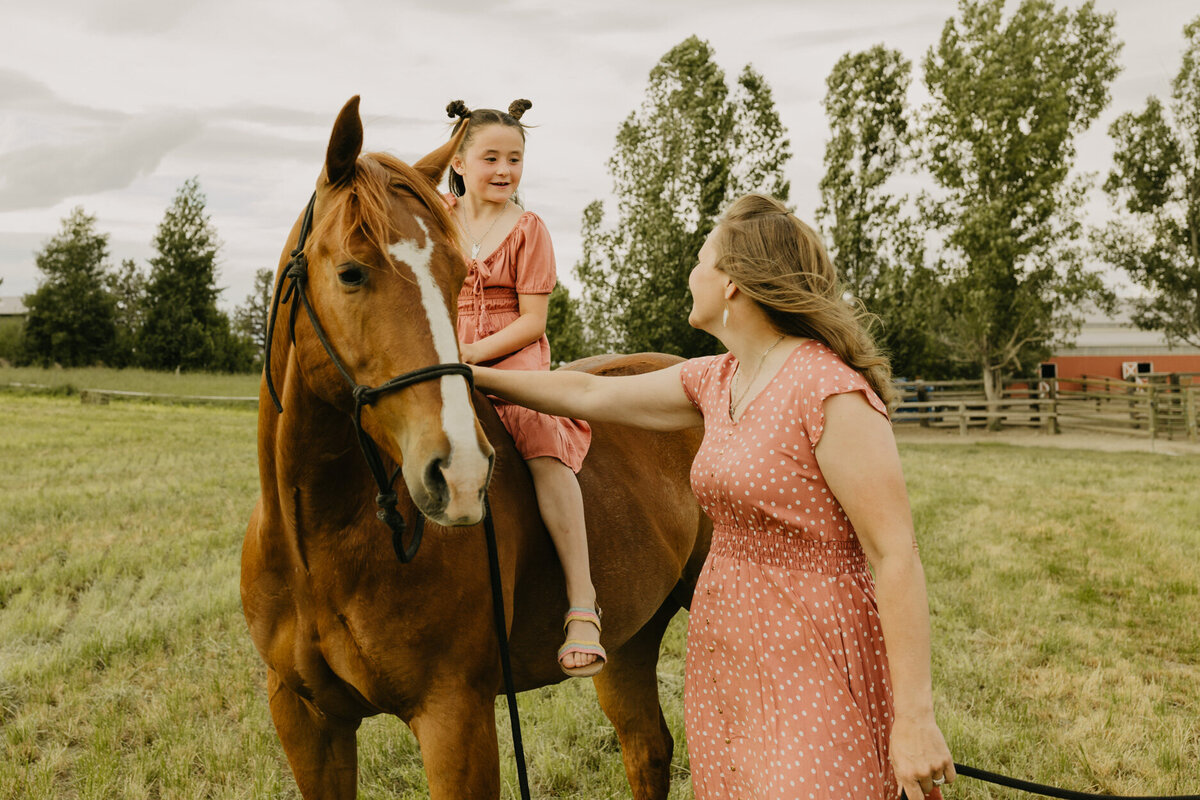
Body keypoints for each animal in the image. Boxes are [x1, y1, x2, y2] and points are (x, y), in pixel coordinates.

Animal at [243, 95, 710, 800]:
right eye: (351, 272)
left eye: (459, 273)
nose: (459, 474)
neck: (316, 545)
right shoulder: (304, 718)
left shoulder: (454, 715)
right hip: (631, 640)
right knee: (648, 749)